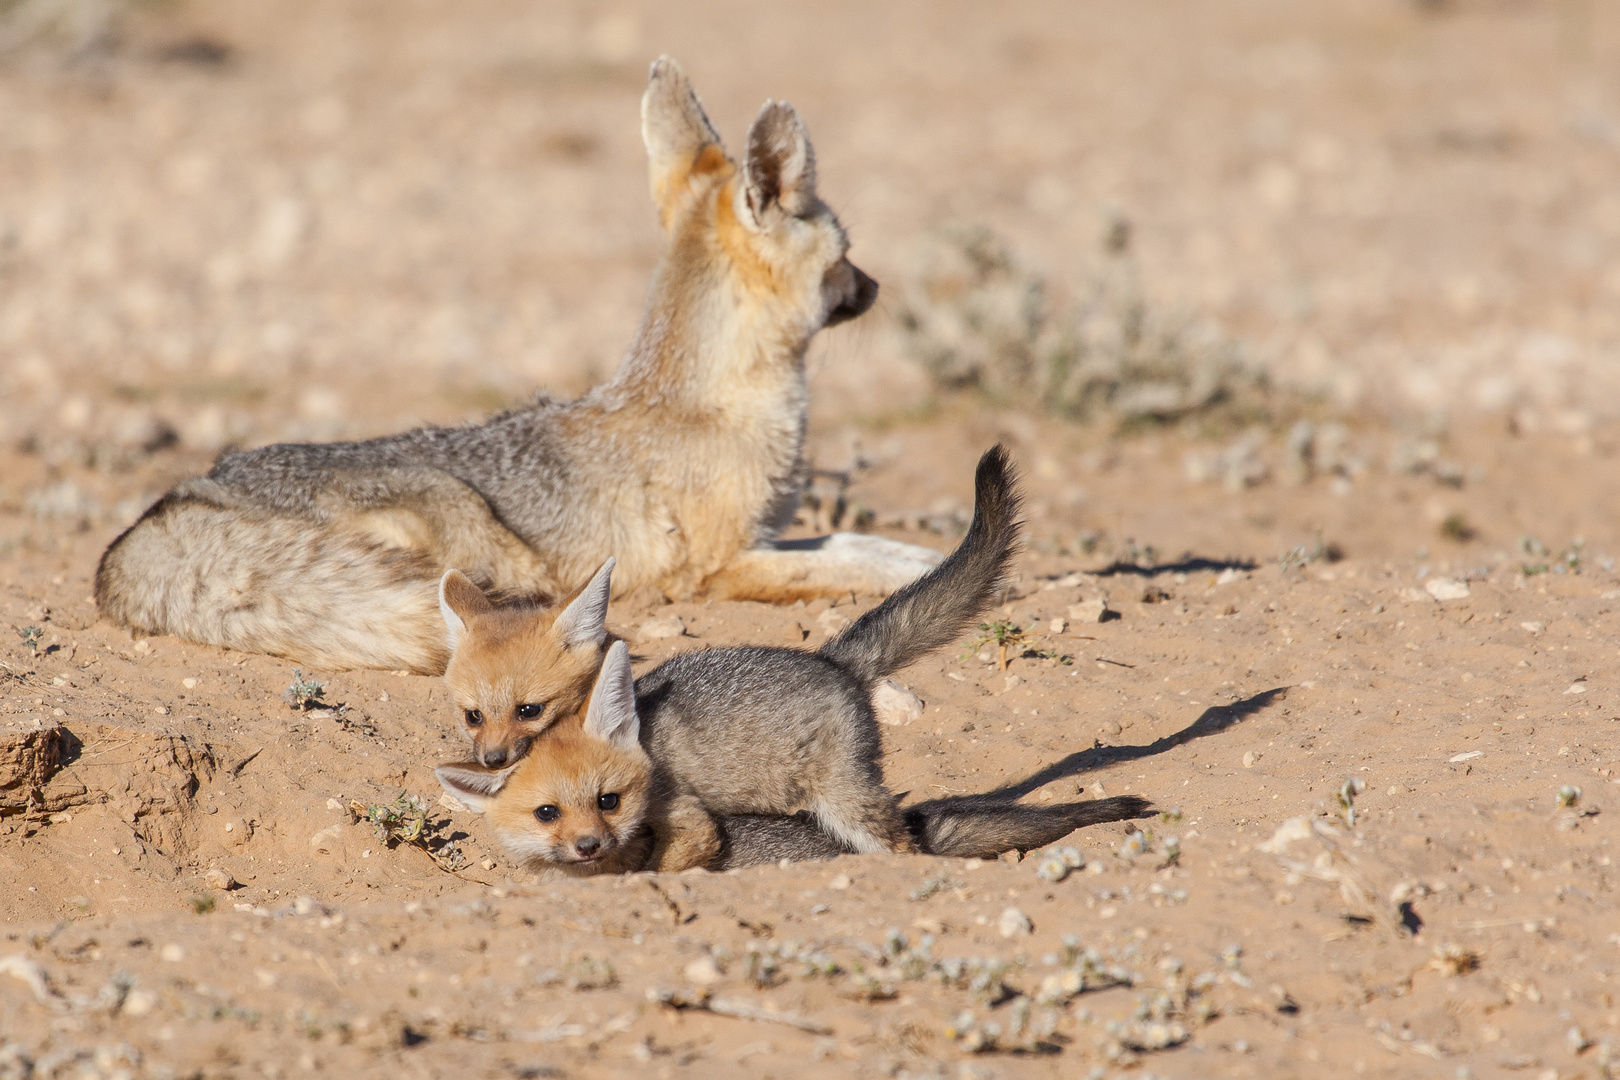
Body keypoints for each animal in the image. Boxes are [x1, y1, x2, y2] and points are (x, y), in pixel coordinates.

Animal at [94, 57, 946, 676]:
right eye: (846, 255)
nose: (877, 288)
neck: (709, 404)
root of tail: (179, 496)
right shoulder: (716, 568)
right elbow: (843, 566)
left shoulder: (768, 536)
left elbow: (860, 543)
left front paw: (931, 557)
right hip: (467, 529)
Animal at [437, 450, 1159, 880]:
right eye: (472, 716)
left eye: (530, 709)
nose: (493, 760)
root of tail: (830, 657)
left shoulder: (680, 814)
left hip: (844, 803)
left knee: (906, 846)